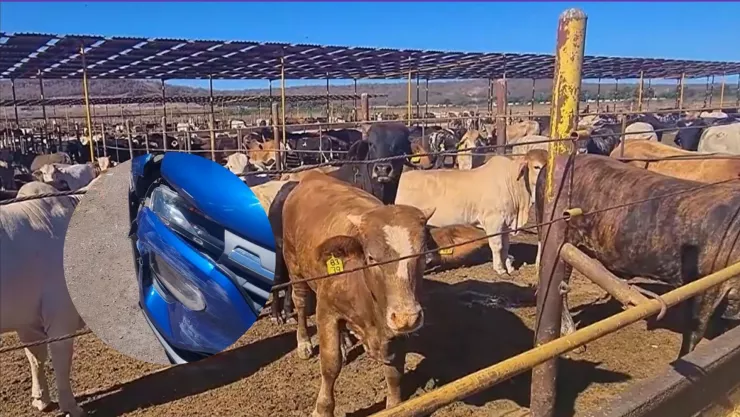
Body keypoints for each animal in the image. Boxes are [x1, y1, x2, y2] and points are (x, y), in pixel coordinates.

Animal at [1, 182, 86, 417]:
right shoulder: (62, 313)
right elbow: (61, 358)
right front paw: (71, 406)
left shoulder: (27, 320)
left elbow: (35, 357)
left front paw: (41, 399)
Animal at [280, 170, 434, 416]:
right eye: (371, 257)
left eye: (421, 254)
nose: (407, 317)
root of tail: (312, 175)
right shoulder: (326, 311)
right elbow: (330, 364)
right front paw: (322, 408)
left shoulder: (394, 323)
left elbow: (394, 369)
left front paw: (396, 406)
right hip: (293, 264)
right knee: (301, 302)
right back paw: (304, 342)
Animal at [395, 149, 547, 275]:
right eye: (536, 166)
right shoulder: (493, 220)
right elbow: (497, 245)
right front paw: (499, 268)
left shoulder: (505, 223)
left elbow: (505, 246)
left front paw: (508, 266)